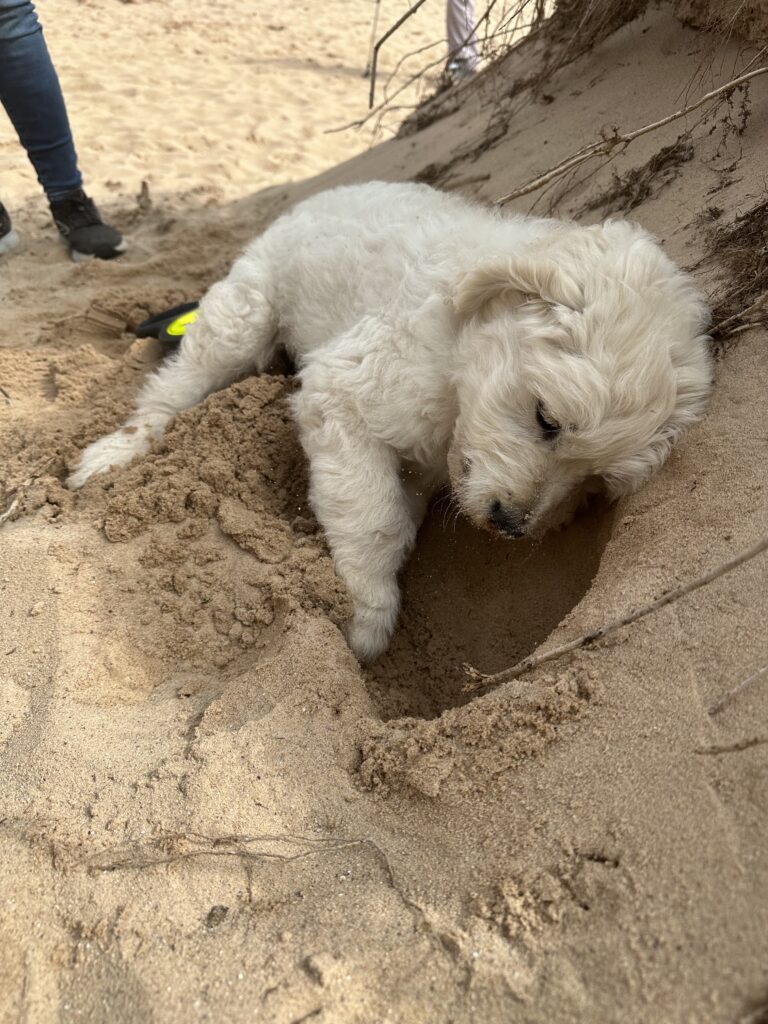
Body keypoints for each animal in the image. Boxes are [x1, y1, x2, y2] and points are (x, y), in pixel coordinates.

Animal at [68, 181, 712, 660]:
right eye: (547, 419)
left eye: (593, 484)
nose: (511, 525)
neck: (455, 357)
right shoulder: (342, 391)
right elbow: (376, 518)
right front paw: (367, 615)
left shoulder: (431, 462)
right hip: (243, 315)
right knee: (172, 388)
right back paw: (112, 455)